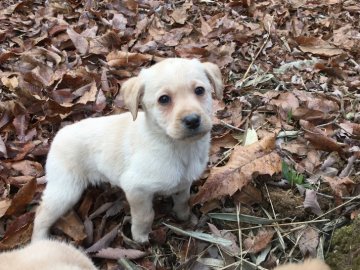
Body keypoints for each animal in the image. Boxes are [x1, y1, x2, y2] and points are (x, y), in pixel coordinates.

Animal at [31, 58, 222, 244]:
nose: (192, 120)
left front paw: (185, 218)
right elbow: (145, 216)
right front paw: (140, 237)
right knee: (41, 215)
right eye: (164, 99)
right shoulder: (136, 189)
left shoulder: (183, 183)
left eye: (199, 90)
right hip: (65, 190)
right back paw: (40, 243)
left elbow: (183, 201)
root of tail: (59, 135)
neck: (177, 146)